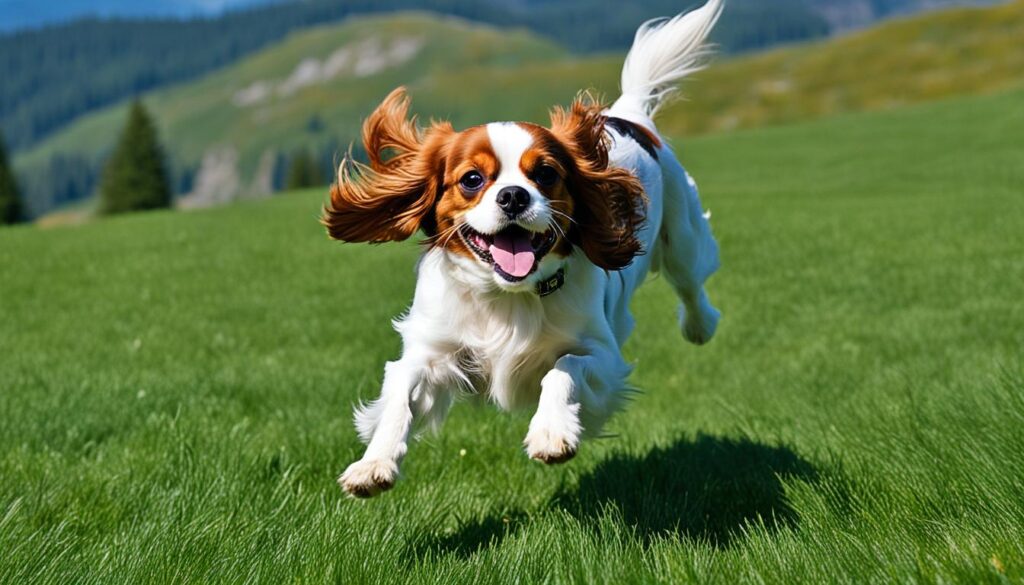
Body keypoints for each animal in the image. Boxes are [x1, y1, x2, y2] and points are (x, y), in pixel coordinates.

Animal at [323, 0, 724, 499]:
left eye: (546, 173)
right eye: (472, 179)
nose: (513, 196)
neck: (507, 296)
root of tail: (627, 116)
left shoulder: (602, 355)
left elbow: (563, 368)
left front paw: (552, 432)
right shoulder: (433, 349)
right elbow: (400, 390)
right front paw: (373, 464)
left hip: (682, 236)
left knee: (691, 284)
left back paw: (700, 326)